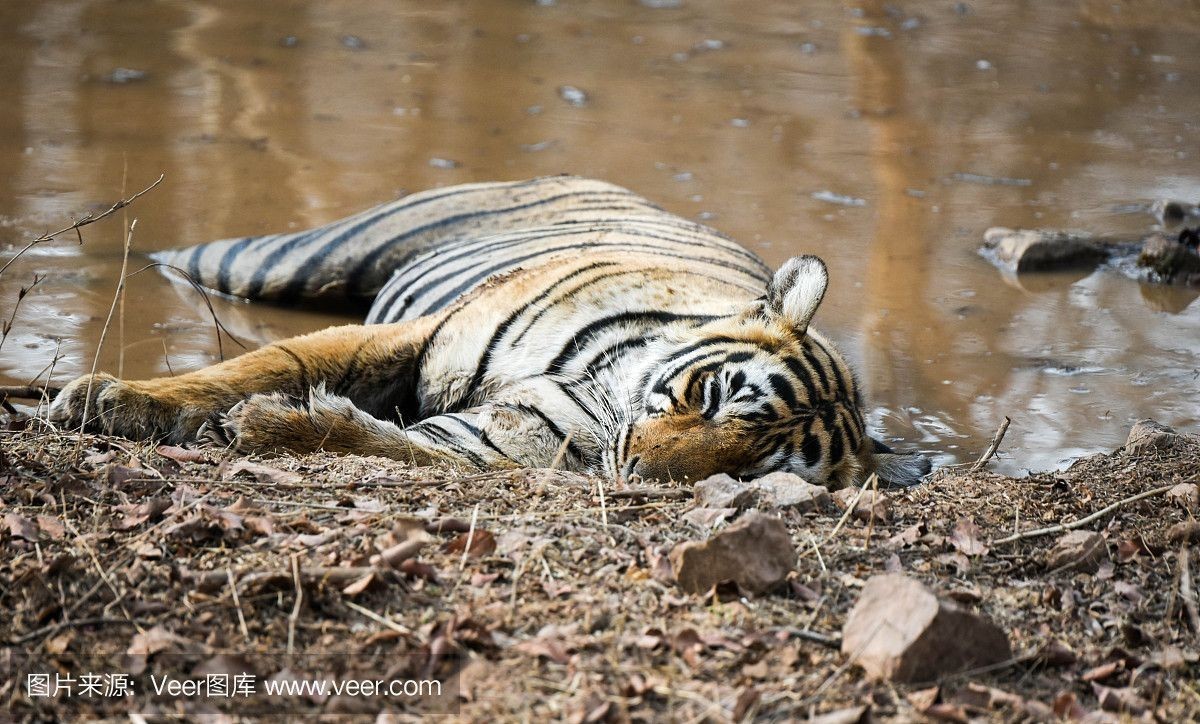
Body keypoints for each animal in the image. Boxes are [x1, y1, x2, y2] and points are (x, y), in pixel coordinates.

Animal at [49, 176, 930, 488]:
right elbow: (263, 363)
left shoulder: (492, 443)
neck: (605, 393)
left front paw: (278, 428)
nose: (640, 471)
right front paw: (112, 399)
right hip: (289, 259)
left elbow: (390, 444)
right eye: (714, 395)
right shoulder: (424, 333)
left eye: (753, 471)